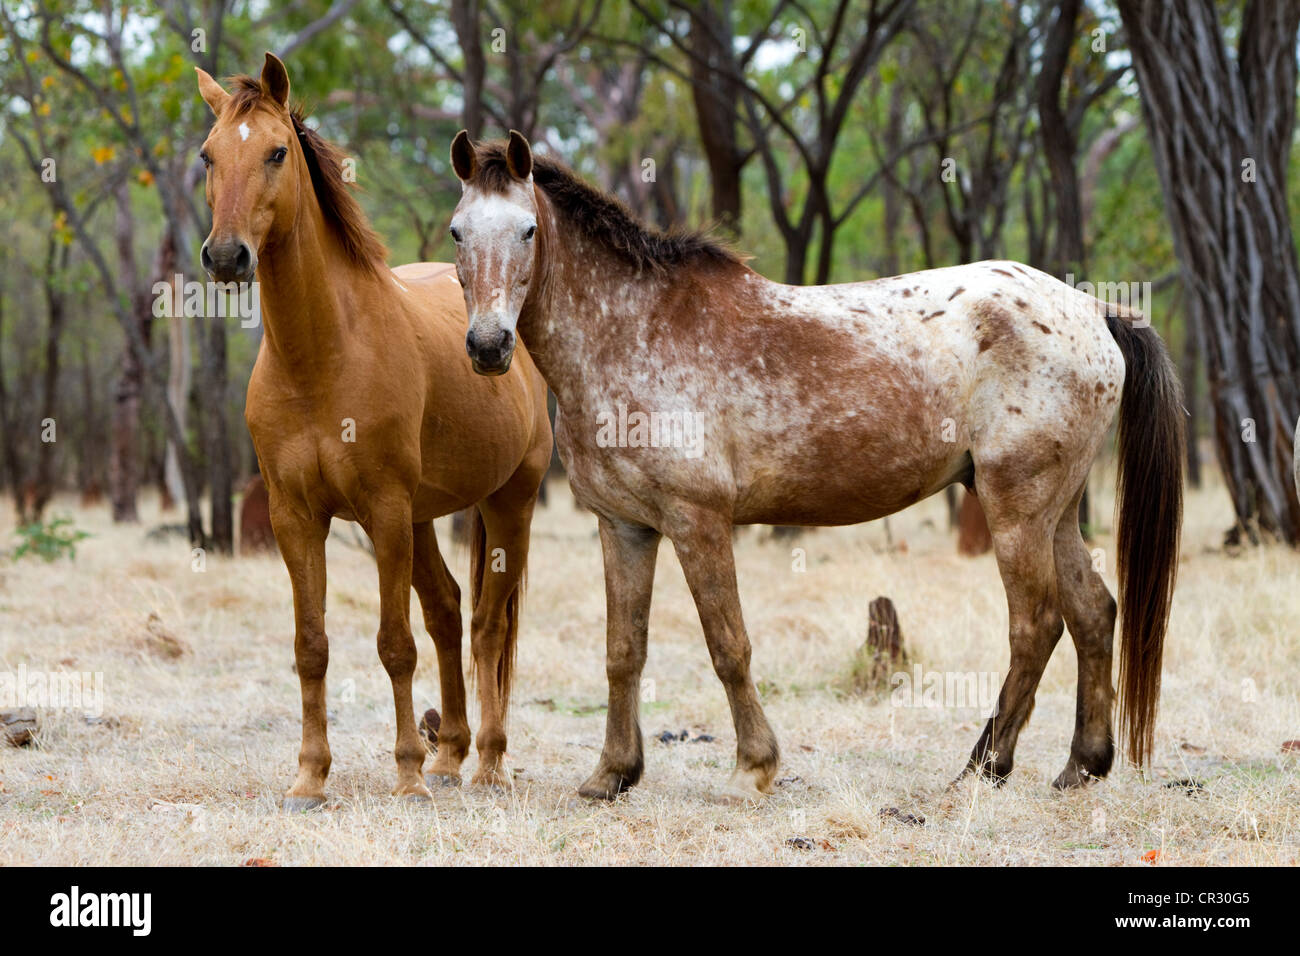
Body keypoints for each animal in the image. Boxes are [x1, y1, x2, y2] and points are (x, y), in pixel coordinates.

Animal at [195, 55, 551, 811]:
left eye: (276, 152)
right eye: (208, 155)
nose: (227, 257)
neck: (322, 356)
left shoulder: (383, 511)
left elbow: (394, 645)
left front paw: (407, 776)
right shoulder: (295, 517)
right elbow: (312, 646)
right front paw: (309, 776)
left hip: (508, 503)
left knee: (487, 626)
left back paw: (486, 763)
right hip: (420, 519)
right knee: (448, 612)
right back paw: (450, 756)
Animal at [449, 130, 1190, 806]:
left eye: (527, 229)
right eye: (457, 233)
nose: (488, 346)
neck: (632, 331)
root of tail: (1095, 309)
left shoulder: (698, 521)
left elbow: (729, 645)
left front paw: (754, 767)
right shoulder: (624, 526)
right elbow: (623, 651)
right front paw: (612, 774)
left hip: (1017, 508)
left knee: (1035, 626)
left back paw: (985, 767)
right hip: (1055, 510)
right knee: (1093, 612)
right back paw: (1081, 766)